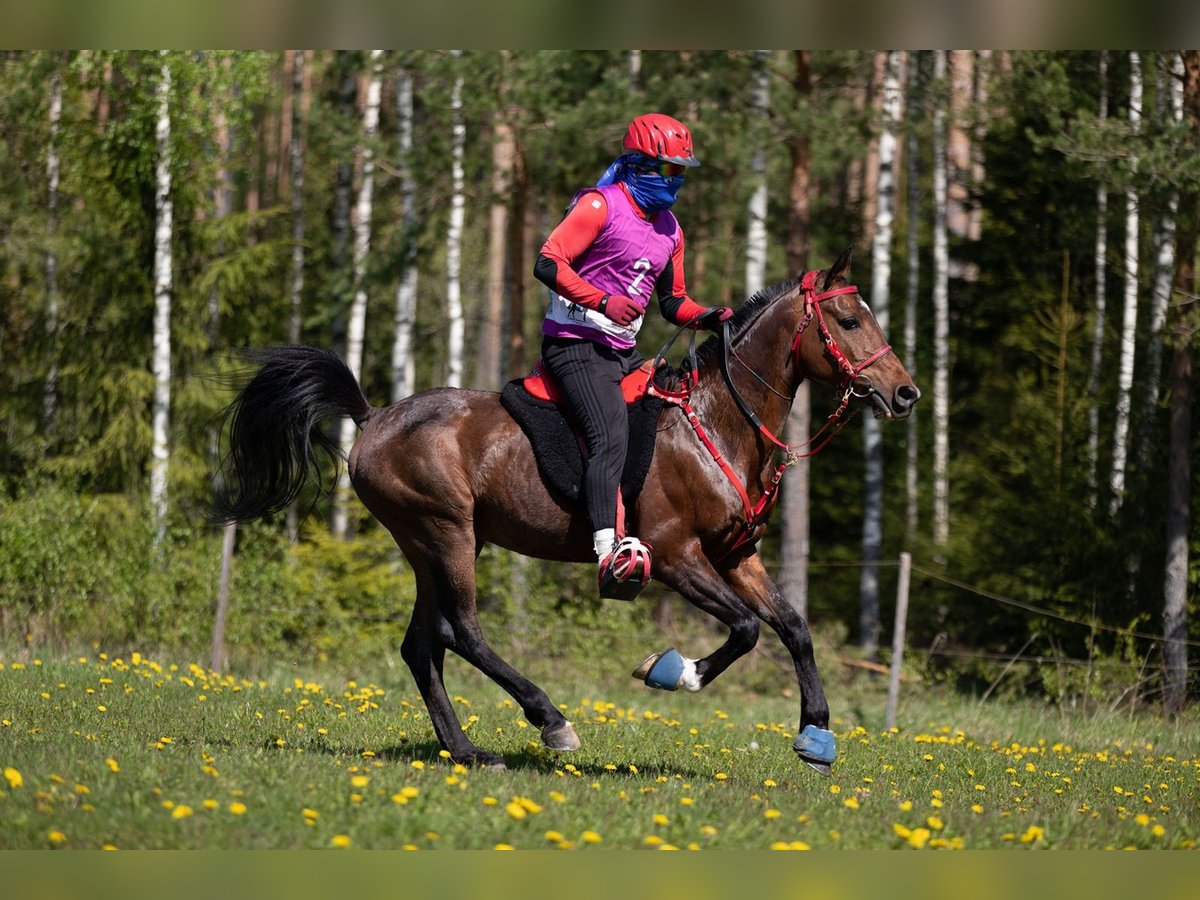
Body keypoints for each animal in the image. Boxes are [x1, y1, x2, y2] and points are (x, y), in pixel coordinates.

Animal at [216, 247, 916, 777]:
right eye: (849, 320)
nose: (904, 393)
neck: (717, 422)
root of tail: (373, 417)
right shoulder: (676, 556)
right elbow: (745, 629)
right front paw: (673, 672)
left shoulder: (736, 556)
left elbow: (793, 627)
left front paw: (816, 735)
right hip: (444, 533)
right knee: (460, 631)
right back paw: (549, 720)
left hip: (435, 545)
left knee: (423, 646)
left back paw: (468, 751)